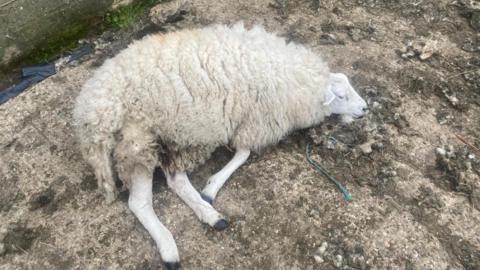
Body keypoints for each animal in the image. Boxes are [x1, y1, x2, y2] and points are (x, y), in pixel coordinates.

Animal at [73, 22, 368, 268]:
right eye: (341, 95)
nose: (365, 108)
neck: (292, 79)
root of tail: (93, 112)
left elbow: (241, 153)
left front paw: (210, 189)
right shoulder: (253, 120)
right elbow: (244, 153)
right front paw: (213, 184)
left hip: (175, 137)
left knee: (175, 179)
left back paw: (210, 214)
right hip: (140, 143)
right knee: (140, 202)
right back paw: (170, 247)